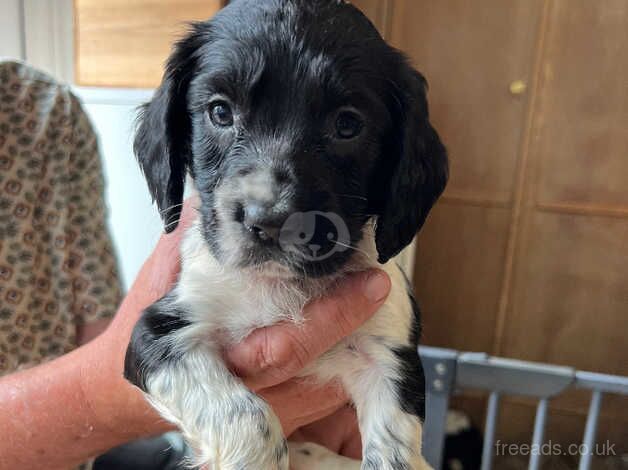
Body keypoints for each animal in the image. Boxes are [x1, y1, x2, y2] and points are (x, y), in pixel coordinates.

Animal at [124, 0, 446, 470]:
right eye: (220, 112)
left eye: (347, 125)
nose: (268, 219)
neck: (279, 286)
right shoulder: (158, 333)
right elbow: (250, 417)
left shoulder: (390, 350)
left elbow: (395, 452)